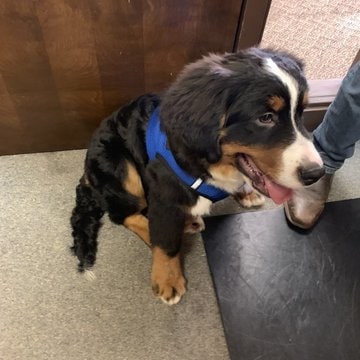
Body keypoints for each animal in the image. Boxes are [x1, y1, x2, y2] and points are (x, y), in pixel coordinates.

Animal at [69, 47, 324, 306]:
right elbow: (165, 243)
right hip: (122, 167)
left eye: (301, 112)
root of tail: (86, 174)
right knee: (124, 214)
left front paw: (246, 192)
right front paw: (168, 279)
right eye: (265, 117)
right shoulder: (164, 192)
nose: (316, 173)